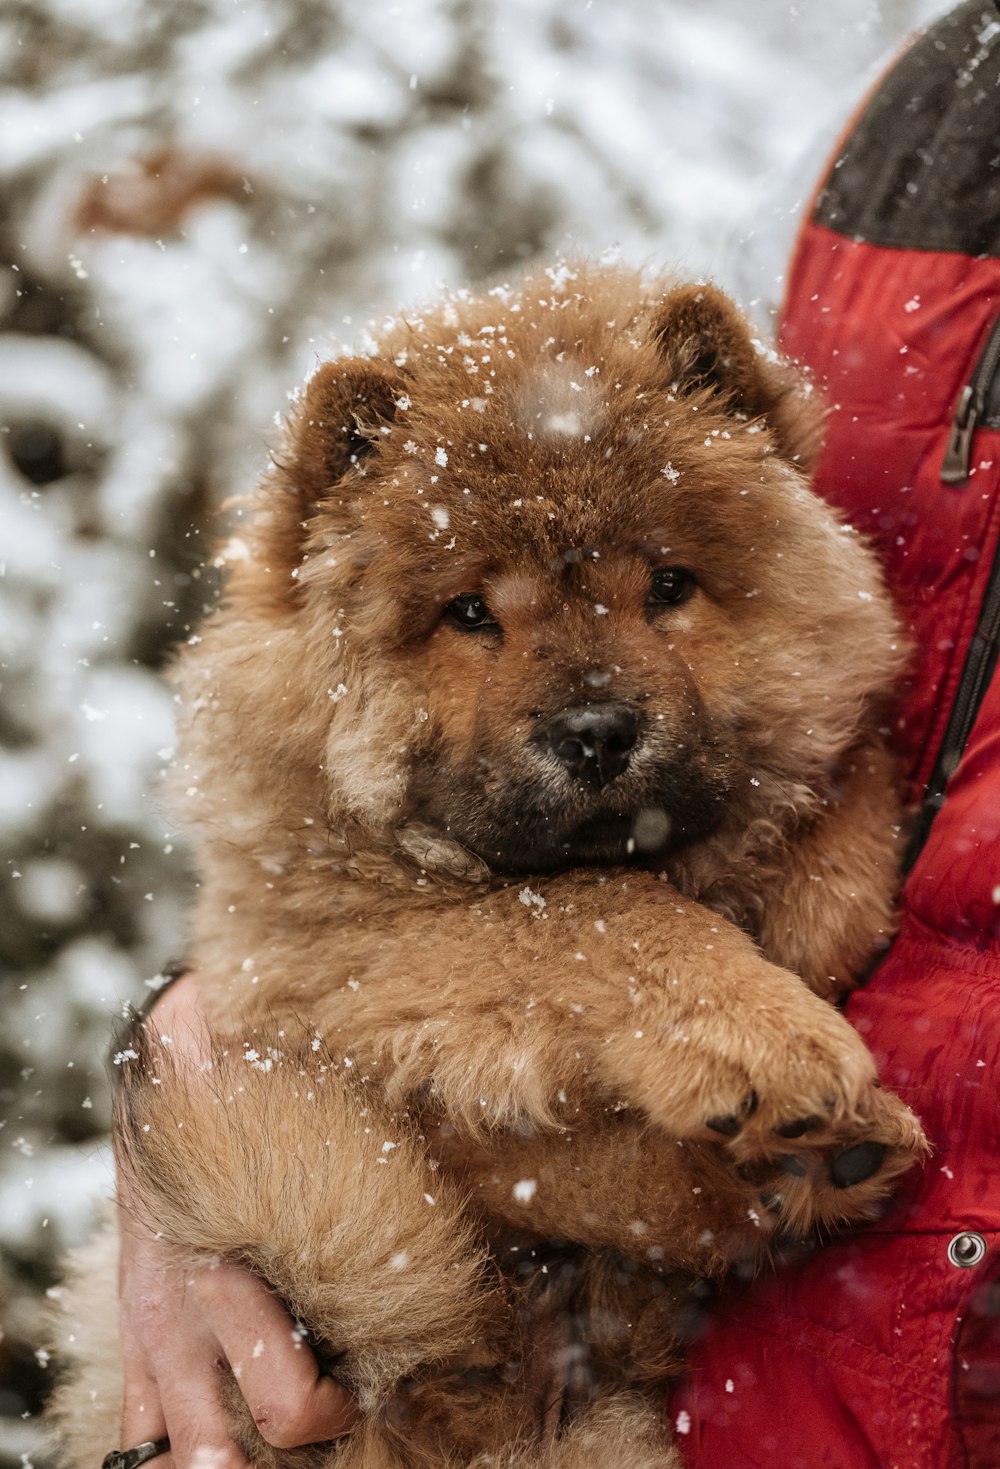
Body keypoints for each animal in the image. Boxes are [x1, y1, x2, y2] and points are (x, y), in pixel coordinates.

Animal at [50, 267, 928, 1469]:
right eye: (470, 612)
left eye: (668, 584)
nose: (597, 730)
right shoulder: (337, 955)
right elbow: (593, 912)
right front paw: (764, 1037)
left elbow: (836, 772)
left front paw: (814, 886)